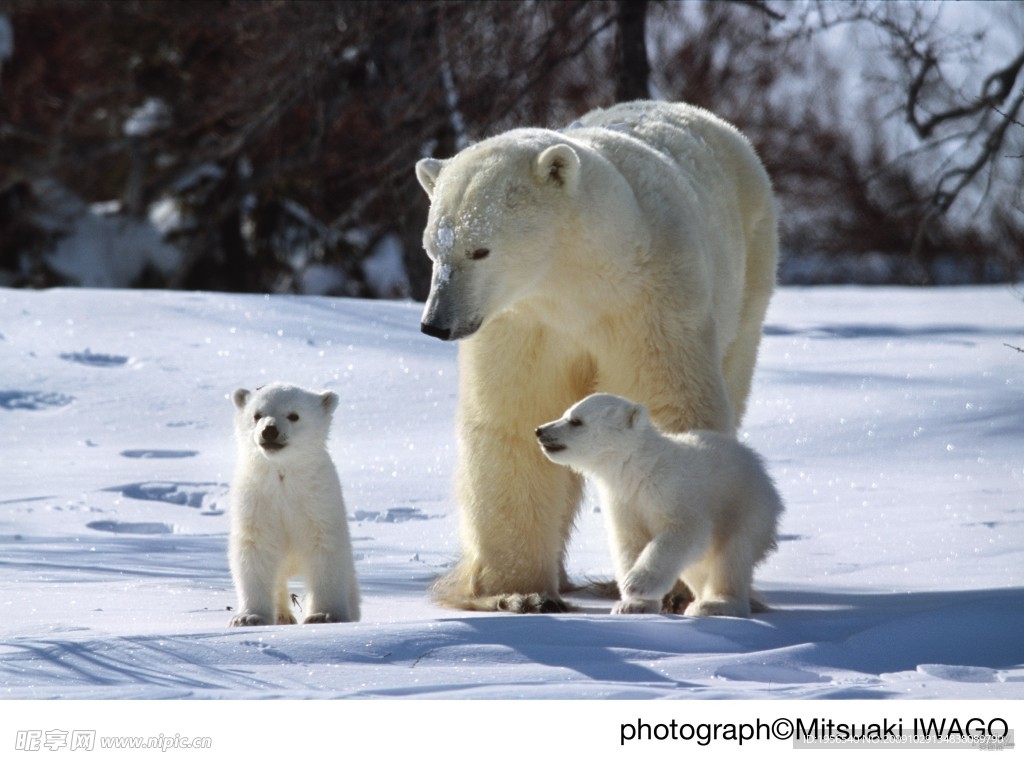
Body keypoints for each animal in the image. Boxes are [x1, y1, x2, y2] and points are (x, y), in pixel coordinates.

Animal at [228, 381, 360, 622]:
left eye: (293, 415)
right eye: (257, 415)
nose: (269, 430)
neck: (283, 475)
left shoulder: (318, 502)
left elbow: (325, 550)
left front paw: (324, 615)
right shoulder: (256, 501)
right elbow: (254, 549)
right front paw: (248, 618)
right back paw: (282, 616)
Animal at [536, 393, 782, 618]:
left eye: (576, 421)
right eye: (566, 413)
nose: (540, 430)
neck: (641, 468)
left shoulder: (674, 489)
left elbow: (685, 531)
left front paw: (636, 583)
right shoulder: (624, 501)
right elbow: (629, 543)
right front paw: (633, 605)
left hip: (746, 507)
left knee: (731, 556)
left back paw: (714, 604)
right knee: (697, 567)